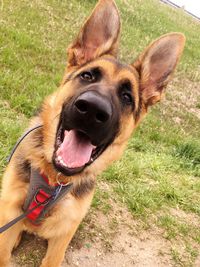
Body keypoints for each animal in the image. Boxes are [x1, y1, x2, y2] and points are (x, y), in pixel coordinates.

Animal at [0, 0, 185, 267]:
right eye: (87, 76)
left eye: (127, 97)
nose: (92, 110)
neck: (54, 182)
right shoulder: (10, 212)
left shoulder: (61, 238)